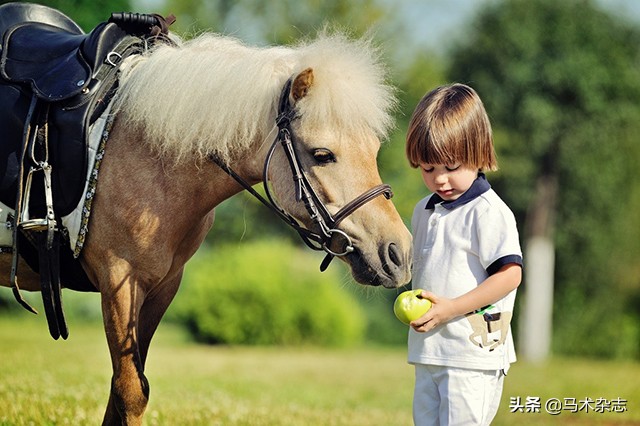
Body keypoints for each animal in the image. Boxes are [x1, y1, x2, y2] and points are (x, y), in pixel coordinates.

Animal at [0, 5, 412, 425]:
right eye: (322, 154)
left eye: (374, 149)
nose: (399, 253)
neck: (150, 154)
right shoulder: (119, 282)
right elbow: (131, 391)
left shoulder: (162, 286)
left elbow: (121, 391)